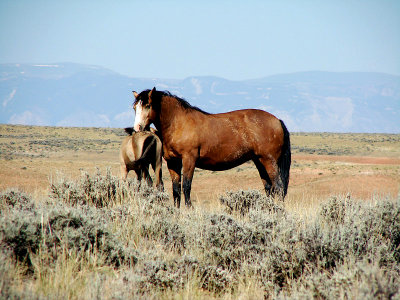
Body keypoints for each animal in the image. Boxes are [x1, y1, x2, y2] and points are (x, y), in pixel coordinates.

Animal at [133, 88, 292, 207]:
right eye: (135, 107)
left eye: (147, 105)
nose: (138, 128)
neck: (178, 123)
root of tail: (277, 120)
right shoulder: (173, 162)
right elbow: (176, 190)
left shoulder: (189, 160)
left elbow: (186, 187)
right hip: (259, 161)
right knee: (269, 188)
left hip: (269, 161)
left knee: (278, 187)